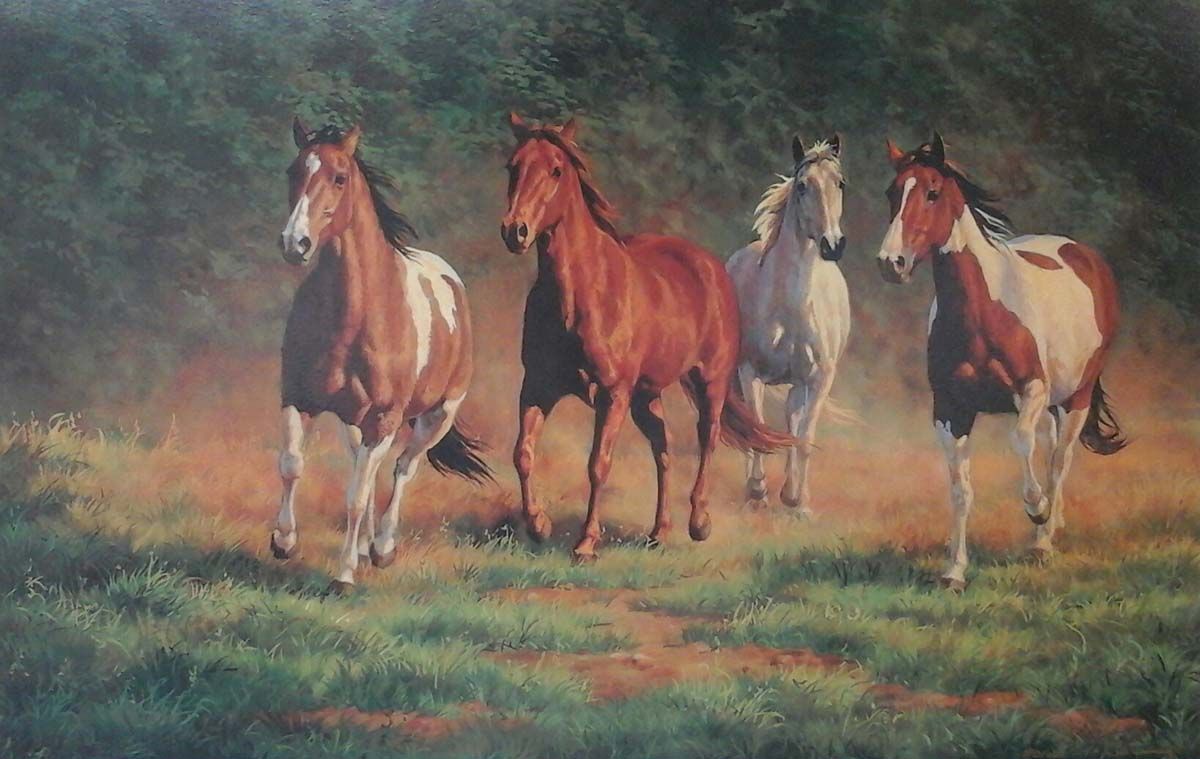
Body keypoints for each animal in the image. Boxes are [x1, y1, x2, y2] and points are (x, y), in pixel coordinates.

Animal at [272, 118, 491, 593]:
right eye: (292, 171)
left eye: (339, 178)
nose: (295, 243)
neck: (355, 314)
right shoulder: (298, 399)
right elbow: (292, 465)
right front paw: (283, 541)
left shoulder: (385, 418)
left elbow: (356, 496)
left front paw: (343, 577)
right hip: (354, 423)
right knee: (367, 471)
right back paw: (362, 547)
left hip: (436, 414)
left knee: (403, 468)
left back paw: (382, 549)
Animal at [499, 113, 794, 561]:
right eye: (512, 166)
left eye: (556, 170)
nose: (515, 231)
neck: (580, 293)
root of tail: (709, 265)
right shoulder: (537, 387)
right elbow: (523, 454)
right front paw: (539, 525)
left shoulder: (612, 394)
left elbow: (598, 464)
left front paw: (586, 543)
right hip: (646, 396)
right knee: (663, 449)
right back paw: (659, 531)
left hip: (709, 383)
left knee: (706, 440)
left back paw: (698, 524)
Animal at [726, 134, 852, 516]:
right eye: (802, 186)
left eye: (840, 183)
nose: (832, 244)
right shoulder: (749, 371)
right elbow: (756, 429)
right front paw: (757, 492)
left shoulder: (819, 378)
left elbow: (805, 437)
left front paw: (797, 501)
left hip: (798, 386)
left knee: (793, 423)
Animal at [877, 133, 1126, 590]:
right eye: (892, 192)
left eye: (932, 192)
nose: (892, 263)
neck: (981, 314)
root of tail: (1081, 252)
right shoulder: (950, 410)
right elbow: (960, 489)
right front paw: (954, 571)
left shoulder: (1031, 390)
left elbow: (1022, 445)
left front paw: (1037, 509)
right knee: (1050, 448)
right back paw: (1050, 527)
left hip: (1076, 396)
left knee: (1059, 459)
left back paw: (1043, 539)